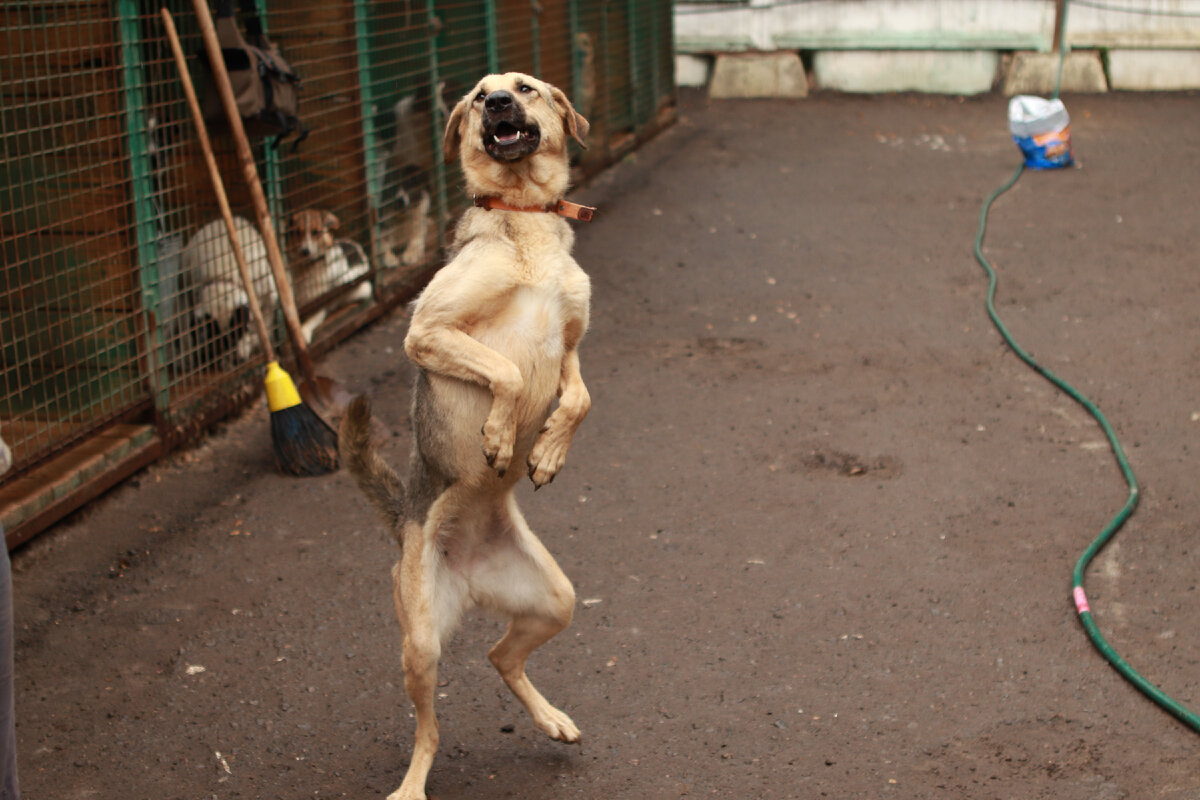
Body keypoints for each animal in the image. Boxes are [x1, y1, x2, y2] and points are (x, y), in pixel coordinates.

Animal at [340, 70, 592, 800]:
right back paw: (410, 787)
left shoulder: (572, 346)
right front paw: (502, 438)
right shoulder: (428, 331)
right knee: (428, 730)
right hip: (421, 644)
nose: (499, 104)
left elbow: (578, 398)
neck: (525, 220)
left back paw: (551, 720)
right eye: (480, 96)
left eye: (525, 88)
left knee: (499, 654)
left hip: (556, 602)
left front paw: (545, 452)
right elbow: (505, 371)